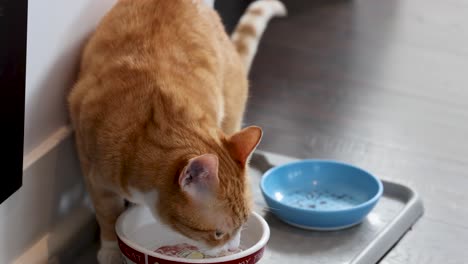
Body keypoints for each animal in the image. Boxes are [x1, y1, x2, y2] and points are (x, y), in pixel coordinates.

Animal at [66, 0, 286, 262]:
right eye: (218, 233)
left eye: (243, 224)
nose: (232, 250)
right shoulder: (93, 172)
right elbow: (107, 215)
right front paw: (111, 250)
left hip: (230, 114)